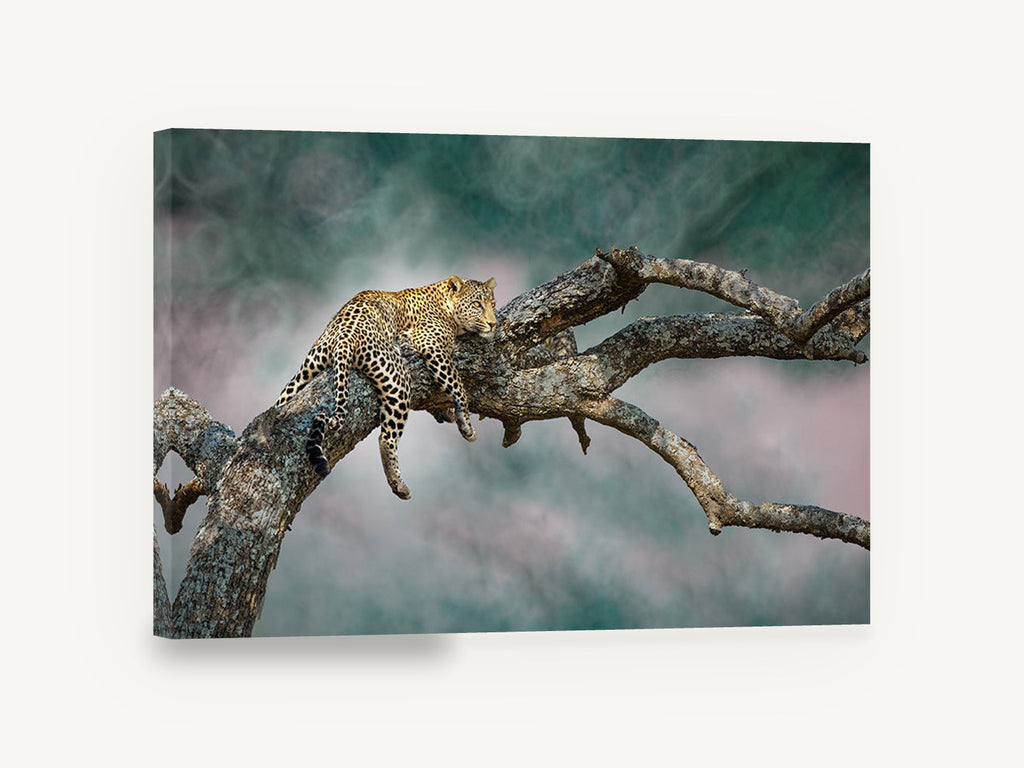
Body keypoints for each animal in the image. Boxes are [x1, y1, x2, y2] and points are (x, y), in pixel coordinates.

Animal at [274, 275, 497, 500]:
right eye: (477, 304)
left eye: (493, 304)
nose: (493, 324)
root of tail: (345, 335)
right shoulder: (432, 345)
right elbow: (458, 385)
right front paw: (466, 425)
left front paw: (449, 413)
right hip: (398, 378)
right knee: (386, 437)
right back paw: (399, 484)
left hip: (306, 372)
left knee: (281, 402)